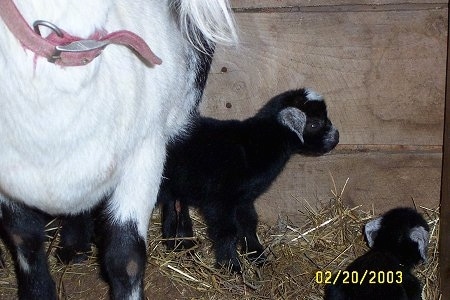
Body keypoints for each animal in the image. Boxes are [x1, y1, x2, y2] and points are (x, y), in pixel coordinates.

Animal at [157, 88, 338, 270]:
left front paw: (257, 255)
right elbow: (227, 231)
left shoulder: (243, 198)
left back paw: (180, 246)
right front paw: (231, 266)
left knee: (173, 212)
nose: (336, 137)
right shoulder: (219, 200)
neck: (255, 145)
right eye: (314, 124)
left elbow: (249, 223)